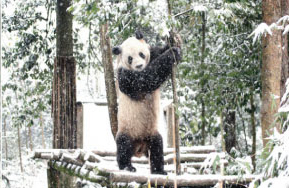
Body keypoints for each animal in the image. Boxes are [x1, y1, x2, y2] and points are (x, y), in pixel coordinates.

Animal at [112, 31, 180, 175]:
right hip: (127, 128)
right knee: (123, 145)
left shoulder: (151, 54)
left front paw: (173, 42)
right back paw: (127, 167)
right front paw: (172, 54)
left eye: (141, 54)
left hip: (151, 133)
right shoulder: (125, 76)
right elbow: (145, 80)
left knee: (157, 146)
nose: (139, 66)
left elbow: (157, 52)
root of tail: (139, 149)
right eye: (130, 58)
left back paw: (159, 170)